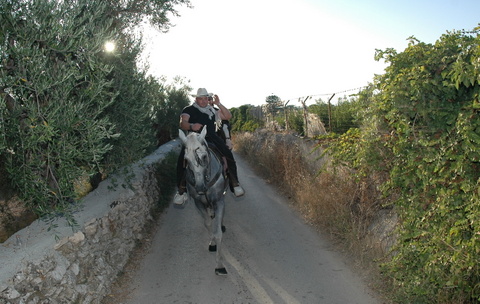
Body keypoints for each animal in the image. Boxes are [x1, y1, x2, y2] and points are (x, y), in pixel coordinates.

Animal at [179, 127, 230, 274]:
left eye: (204, 157)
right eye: (186, 160)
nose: (200, 188)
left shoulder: (219, 201)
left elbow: (218, 232)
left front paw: (219, 265)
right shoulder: (198, 203)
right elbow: (207, 223)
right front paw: (212, 243)